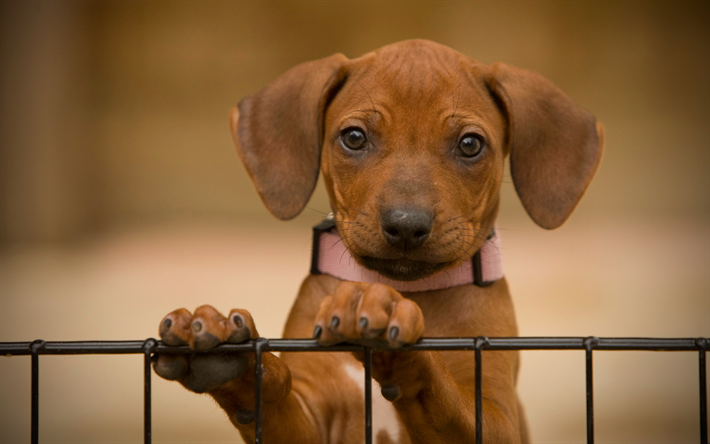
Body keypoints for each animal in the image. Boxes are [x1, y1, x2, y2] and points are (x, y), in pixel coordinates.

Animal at [152, 40, 608, 442]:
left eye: (470, 144)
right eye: (354, 138)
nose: (406, 226)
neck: (404, 287)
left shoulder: (497, 416)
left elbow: (442, 391)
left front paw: (390, 324)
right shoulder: (311, 420)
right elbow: (271, 390)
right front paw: (229, 354)